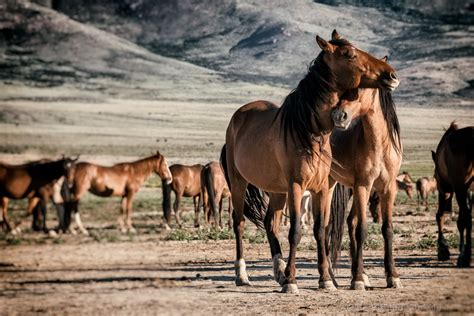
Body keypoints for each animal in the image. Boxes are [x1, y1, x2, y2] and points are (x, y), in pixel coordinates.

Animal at [330, 84, 404, 292]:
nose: (339, 115)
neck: (380, 144)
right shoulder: (363, 185)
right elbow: (362, 229)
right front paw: (357, 281)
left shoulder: (388, 188)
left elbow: (387, 229)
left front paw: (393, 277)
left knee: (350, 220)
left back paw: (361, 272)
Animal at [432, 122, 472, 268]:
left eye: (434, 177)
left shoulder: (445, 189)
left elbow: (440, 215)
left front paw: (443, 249)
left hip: (458, 188)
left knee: (464, 219)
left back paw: (465, 258)